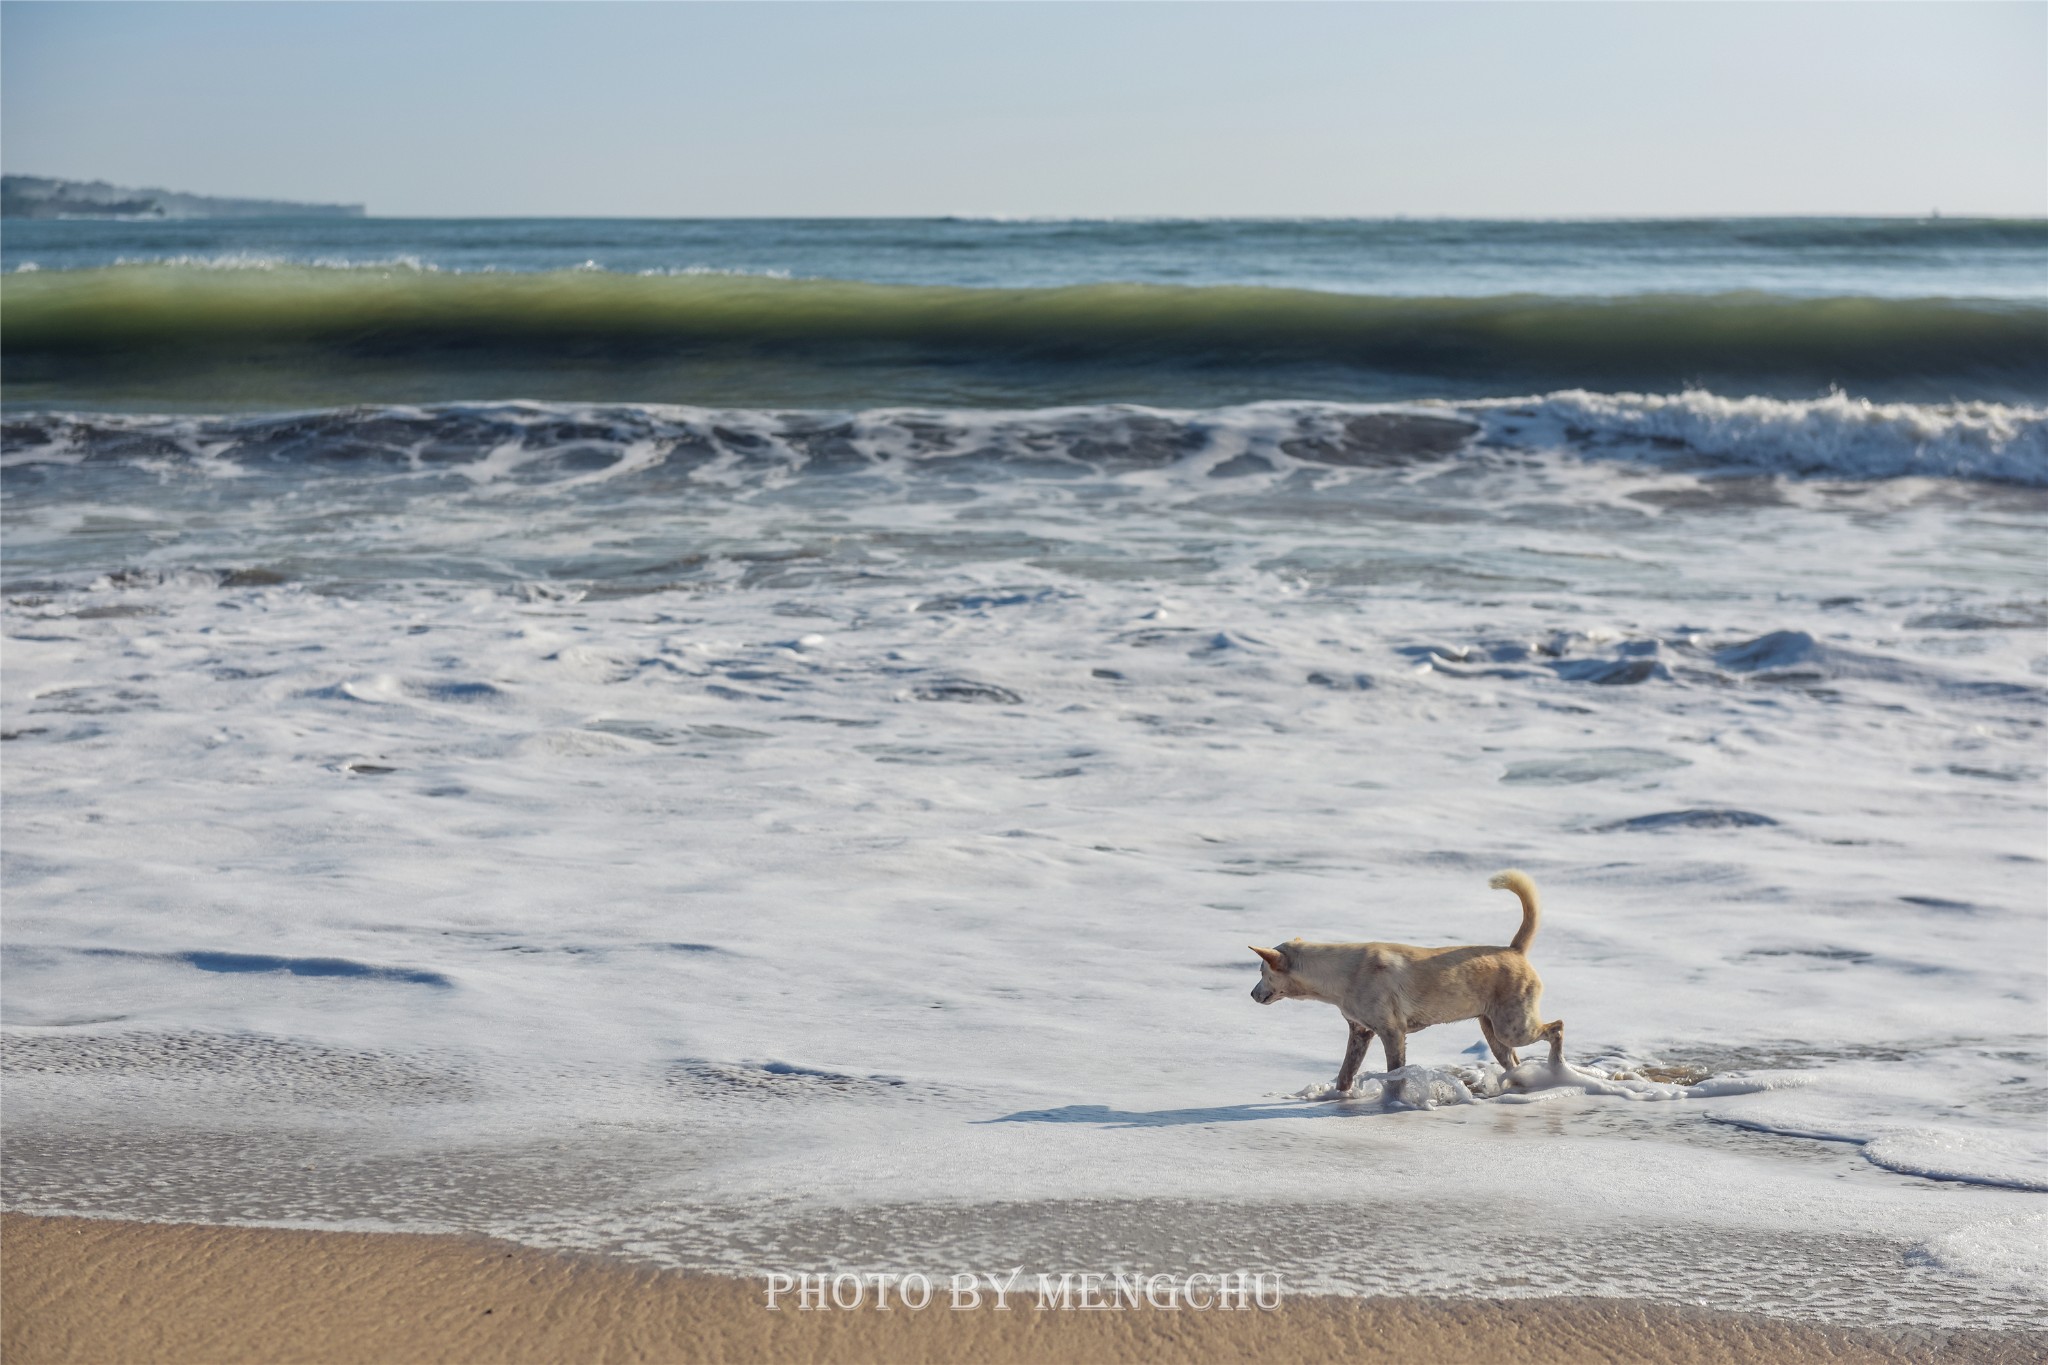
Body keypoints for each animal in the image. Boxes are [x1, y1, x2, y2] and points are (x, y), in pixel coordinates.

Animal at [1245, 871, 1564, 1096]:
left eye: (1261, 971)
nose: (1251, 994)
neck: (1339, 972)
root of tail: (1515, 950)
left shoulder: (1392, 1032)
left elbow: (1395, 1076)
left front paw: (1393, 1101)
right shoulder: (1360, 1032)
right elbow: (1345, 1074)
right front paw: (1337, 1097)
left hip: (1514, 1027)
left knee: (1557, 1027)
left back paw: (1558, 1068)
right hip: (1494, 1030)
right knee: (1514, 1061)